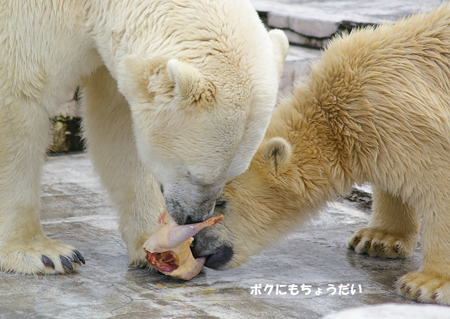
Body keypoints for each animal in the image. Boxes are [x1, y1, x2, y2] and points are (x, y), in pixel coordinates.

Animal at [0, 0, 288, 276]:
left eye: (231, 175)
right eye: (193, 173)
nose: (192, 218)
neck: (94, 5)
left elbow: (119, 128)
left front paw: (157, 242)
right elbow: (18, 98)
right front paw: (43, 253)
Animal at [193, 4, 450, 304]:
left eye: (221, 202)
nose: (195, 245)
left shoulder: (406, 118)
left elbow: (438, 186)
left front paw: (427, 283)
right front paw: (378, 240)